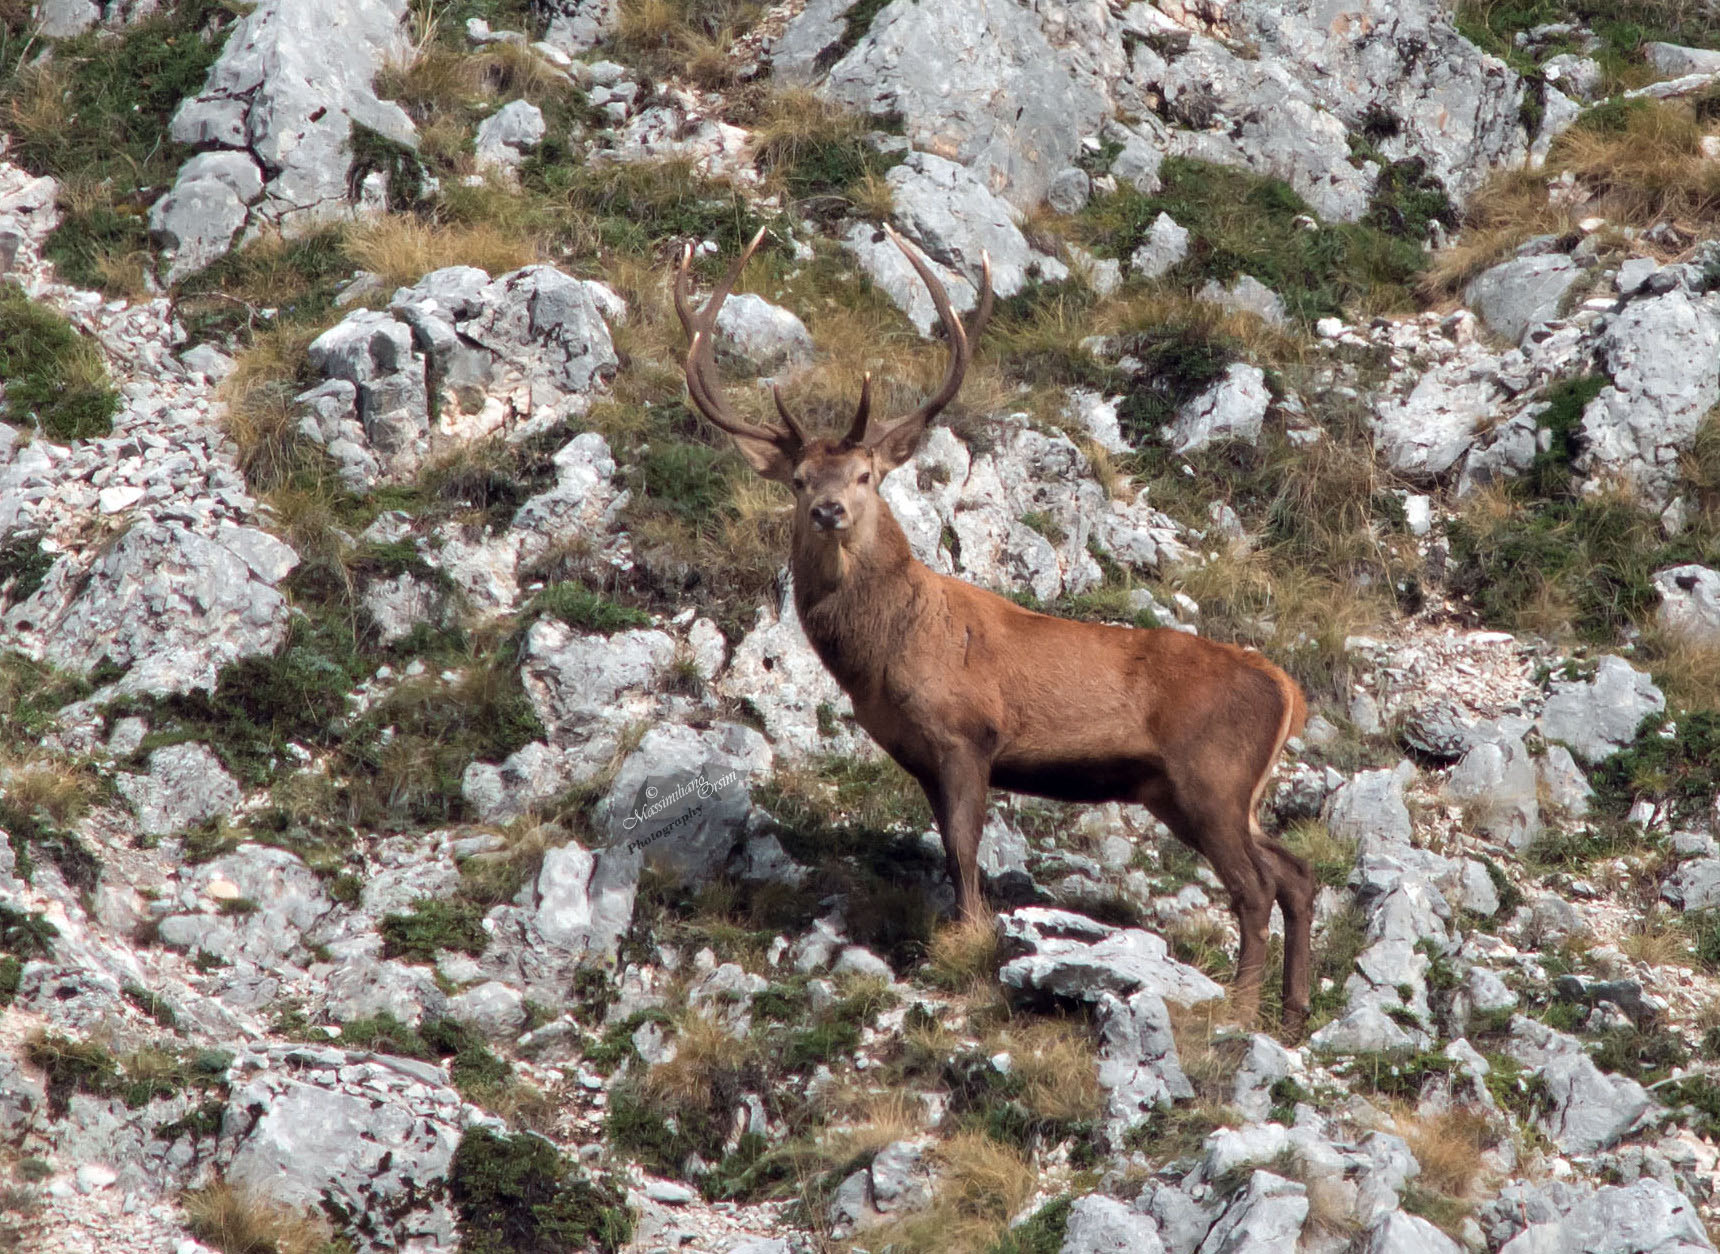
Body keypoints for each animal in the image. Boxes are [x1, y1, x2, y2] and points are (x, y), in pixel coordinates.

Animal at [673, 226, 1316, 1033]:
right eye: (797, 481)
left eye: (866, 476)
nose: (828, 511)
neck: (883, 655)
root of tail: (1289, 691)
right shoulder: (916, 752)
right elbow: (950, 849)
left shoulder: (966, 734)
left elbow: (965, 844)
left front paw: (971, 938)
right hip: (1194, 791)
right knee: (1296, 871)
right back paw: (1293, 1006)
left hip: (1213, 777)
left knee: (1256, 885)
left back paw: (1242, 1005)